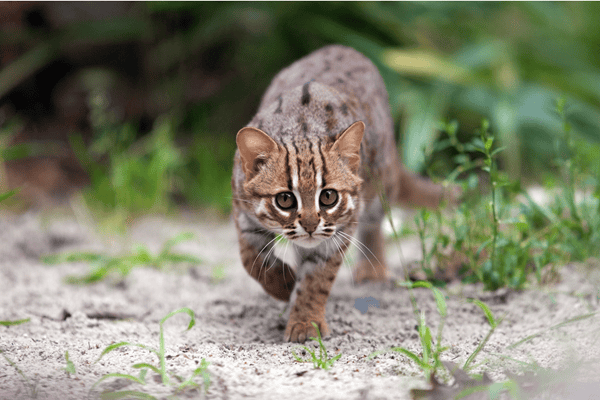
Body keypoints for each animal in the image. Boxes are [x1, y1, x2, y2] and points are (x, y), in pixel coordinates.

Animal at [232, 45, 452, 342]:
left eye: (329, 197)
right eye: (285, 200)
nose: (310, 226)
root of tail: (344, 47)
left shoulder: (340, 229)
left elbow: (317, 280)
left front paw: (305, 322)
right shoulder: (243, 213)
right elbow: (251, 261)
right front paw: (284, 285)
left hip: (379, 182)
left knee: (374, 222)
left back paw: (372, 270)